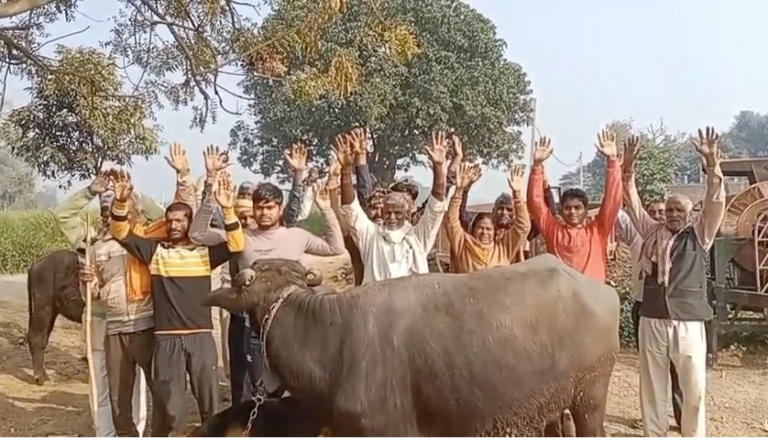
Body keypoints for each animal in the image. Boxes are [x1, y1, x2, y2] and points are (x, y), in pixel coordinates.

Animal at [27, 249, 84, 385]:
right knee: (36, 335)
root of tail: (35, 265)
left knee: (44, 337)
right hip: (43, 307)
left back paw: (45, 376)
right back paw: (39, 379)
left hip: (52, 311)